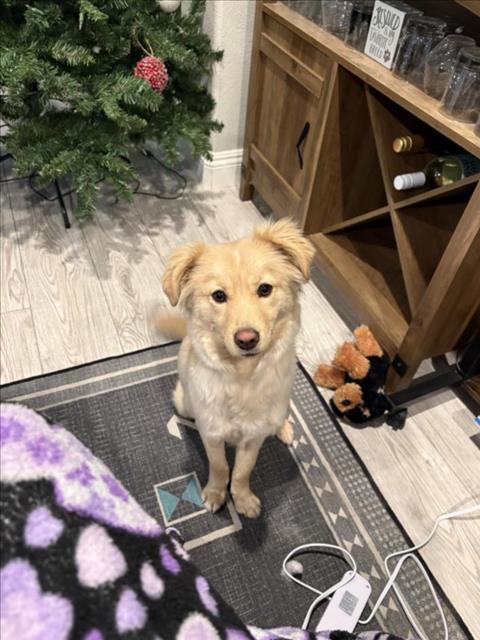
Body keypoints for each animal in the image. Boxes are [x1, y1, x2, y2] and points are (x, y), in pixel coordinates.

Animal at [159, 220, 314, 520]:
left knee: (280, 417)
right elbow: (220, 466)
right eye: (219, 296)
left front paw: (242, 499)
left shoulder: (254, 437)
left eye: (265, 289)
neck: (243, 375)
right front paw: (215, 494)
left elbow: (243, 470)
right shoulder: (211, 432)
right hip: (183, 402)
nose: (247, 339)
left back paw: (284, 429)